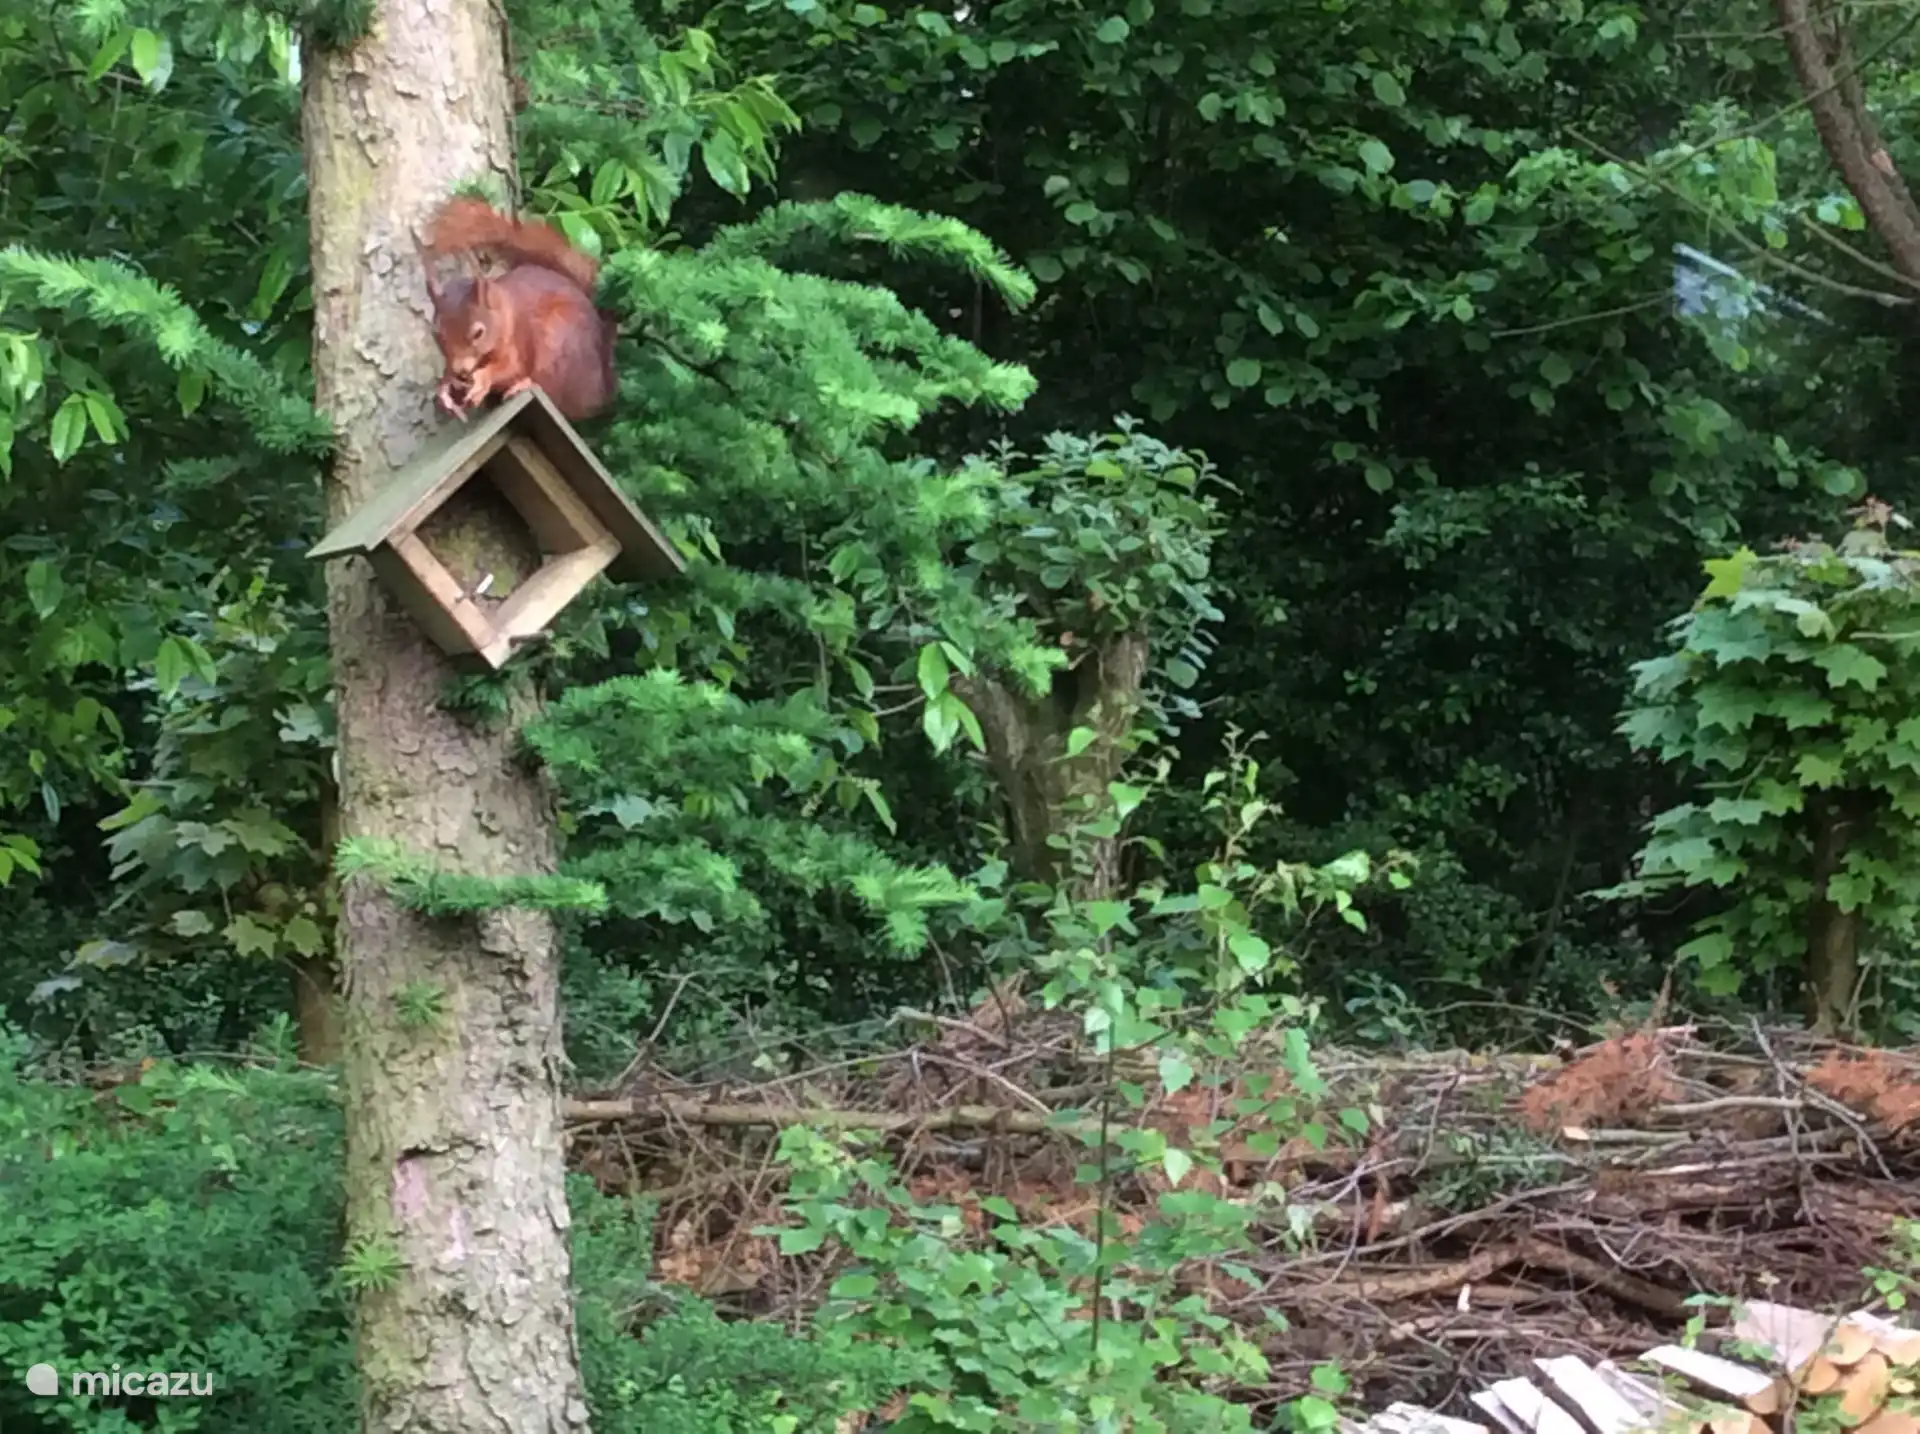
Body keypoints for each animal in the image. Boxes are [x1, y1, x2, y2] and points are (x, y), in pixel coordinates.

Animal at [419, 195, 617, 422]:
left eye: (478, 333)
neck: (502, 312)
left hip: (558, 349)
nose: (462, 371)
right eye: (436, 334)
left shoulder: (516, 344)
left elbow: (509, 368)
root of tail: (600, 387)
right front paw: (445, 387)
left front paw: (482, 379)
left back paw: (524, 384)